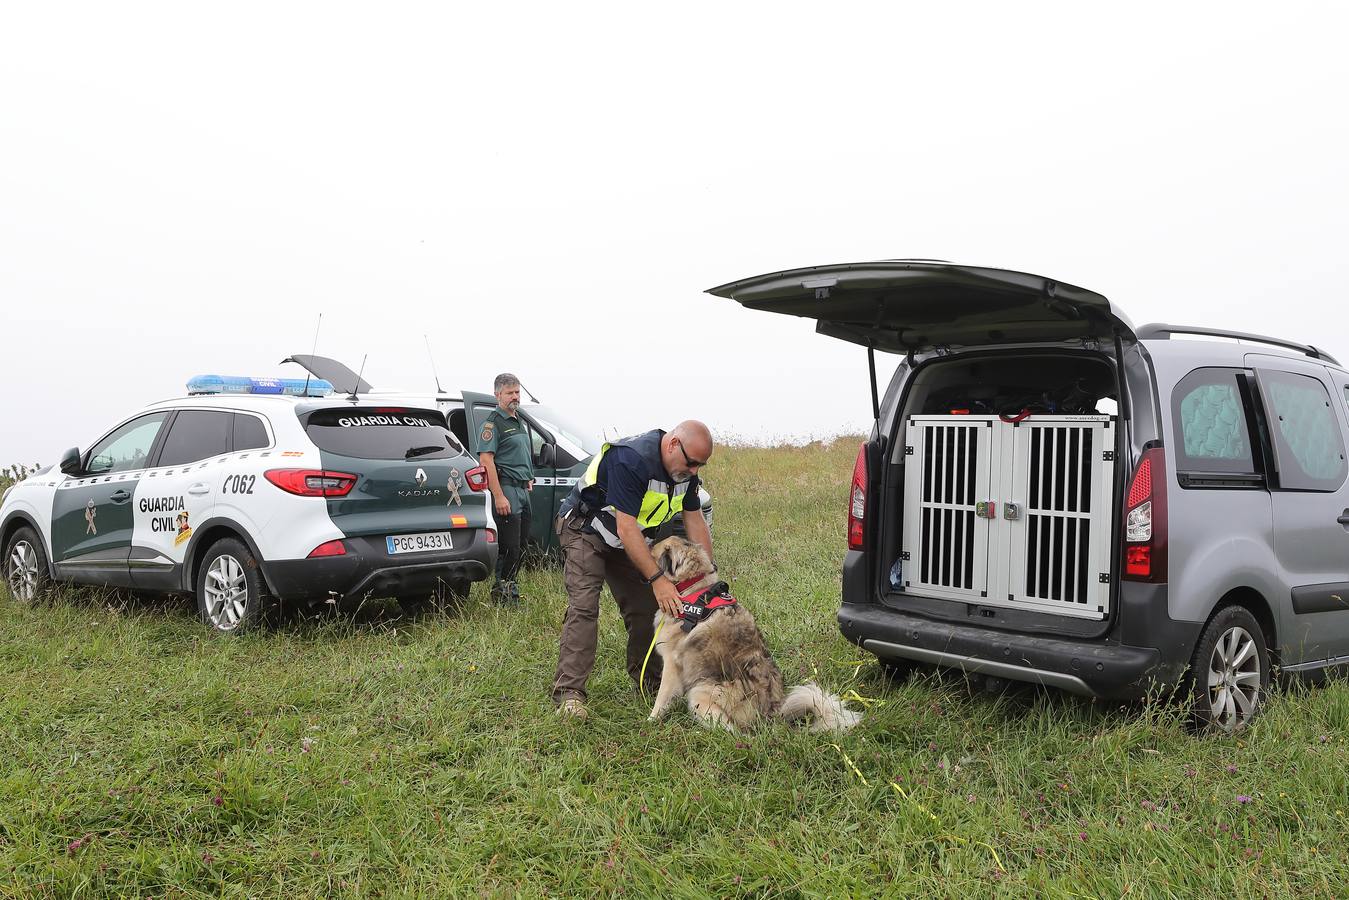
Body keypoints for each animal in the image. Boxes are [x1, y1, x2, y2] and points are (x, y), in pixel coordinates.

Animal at [639, 534, 852, 734]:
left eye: (652, 550)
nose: (646, 542)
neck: (694, 589)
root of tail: (771, 715)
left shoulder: (671, 665)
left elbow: (662, 698)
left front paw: (651, 720)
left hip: (700, 692)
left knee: (733, 731)